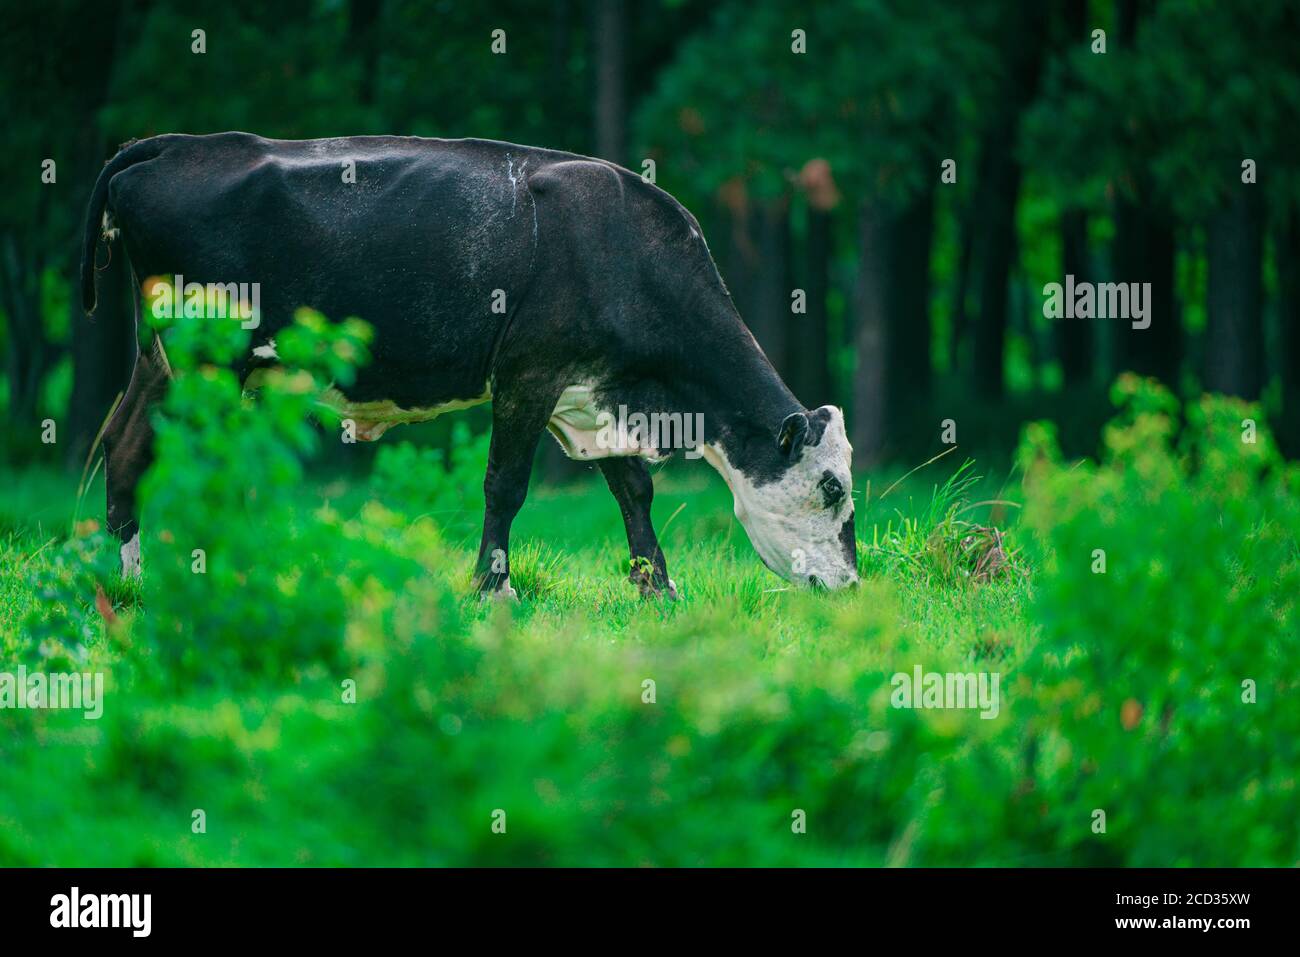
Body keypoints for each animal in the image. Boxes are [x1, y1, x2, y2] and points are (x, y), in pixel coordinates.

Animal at [81, 132, 859, 598]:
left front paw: (656, 588)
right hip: (203, 359)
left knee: (123, 443)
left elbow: (634, 489)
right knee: (167, 456)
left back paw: (132, 584)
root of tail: (177, 144)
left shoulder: (591, 389)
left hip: (159, 358)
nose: (854, 585)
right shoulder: (529, 372)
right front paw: (494, 588)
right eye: (832, 488)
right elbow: (505, 486)